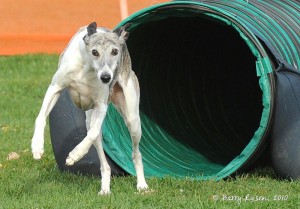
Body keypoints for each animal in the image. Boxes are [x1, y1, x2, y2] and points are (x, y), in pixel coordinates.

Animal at [30, 22, 148, 195]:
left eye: (115, 51)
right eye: (94, 52)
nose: (106, 78)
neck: (87, 69)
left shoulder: (101, 105)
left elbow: (91, 134)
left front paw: (75, 154)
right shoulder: (55, 88)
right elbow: (40, 117)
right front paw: (37, 146)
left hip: (132, 119)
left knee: (136, 153)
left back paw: (142, 184)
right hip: (89, 119)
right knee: (105, 164)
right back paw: (105, 189)